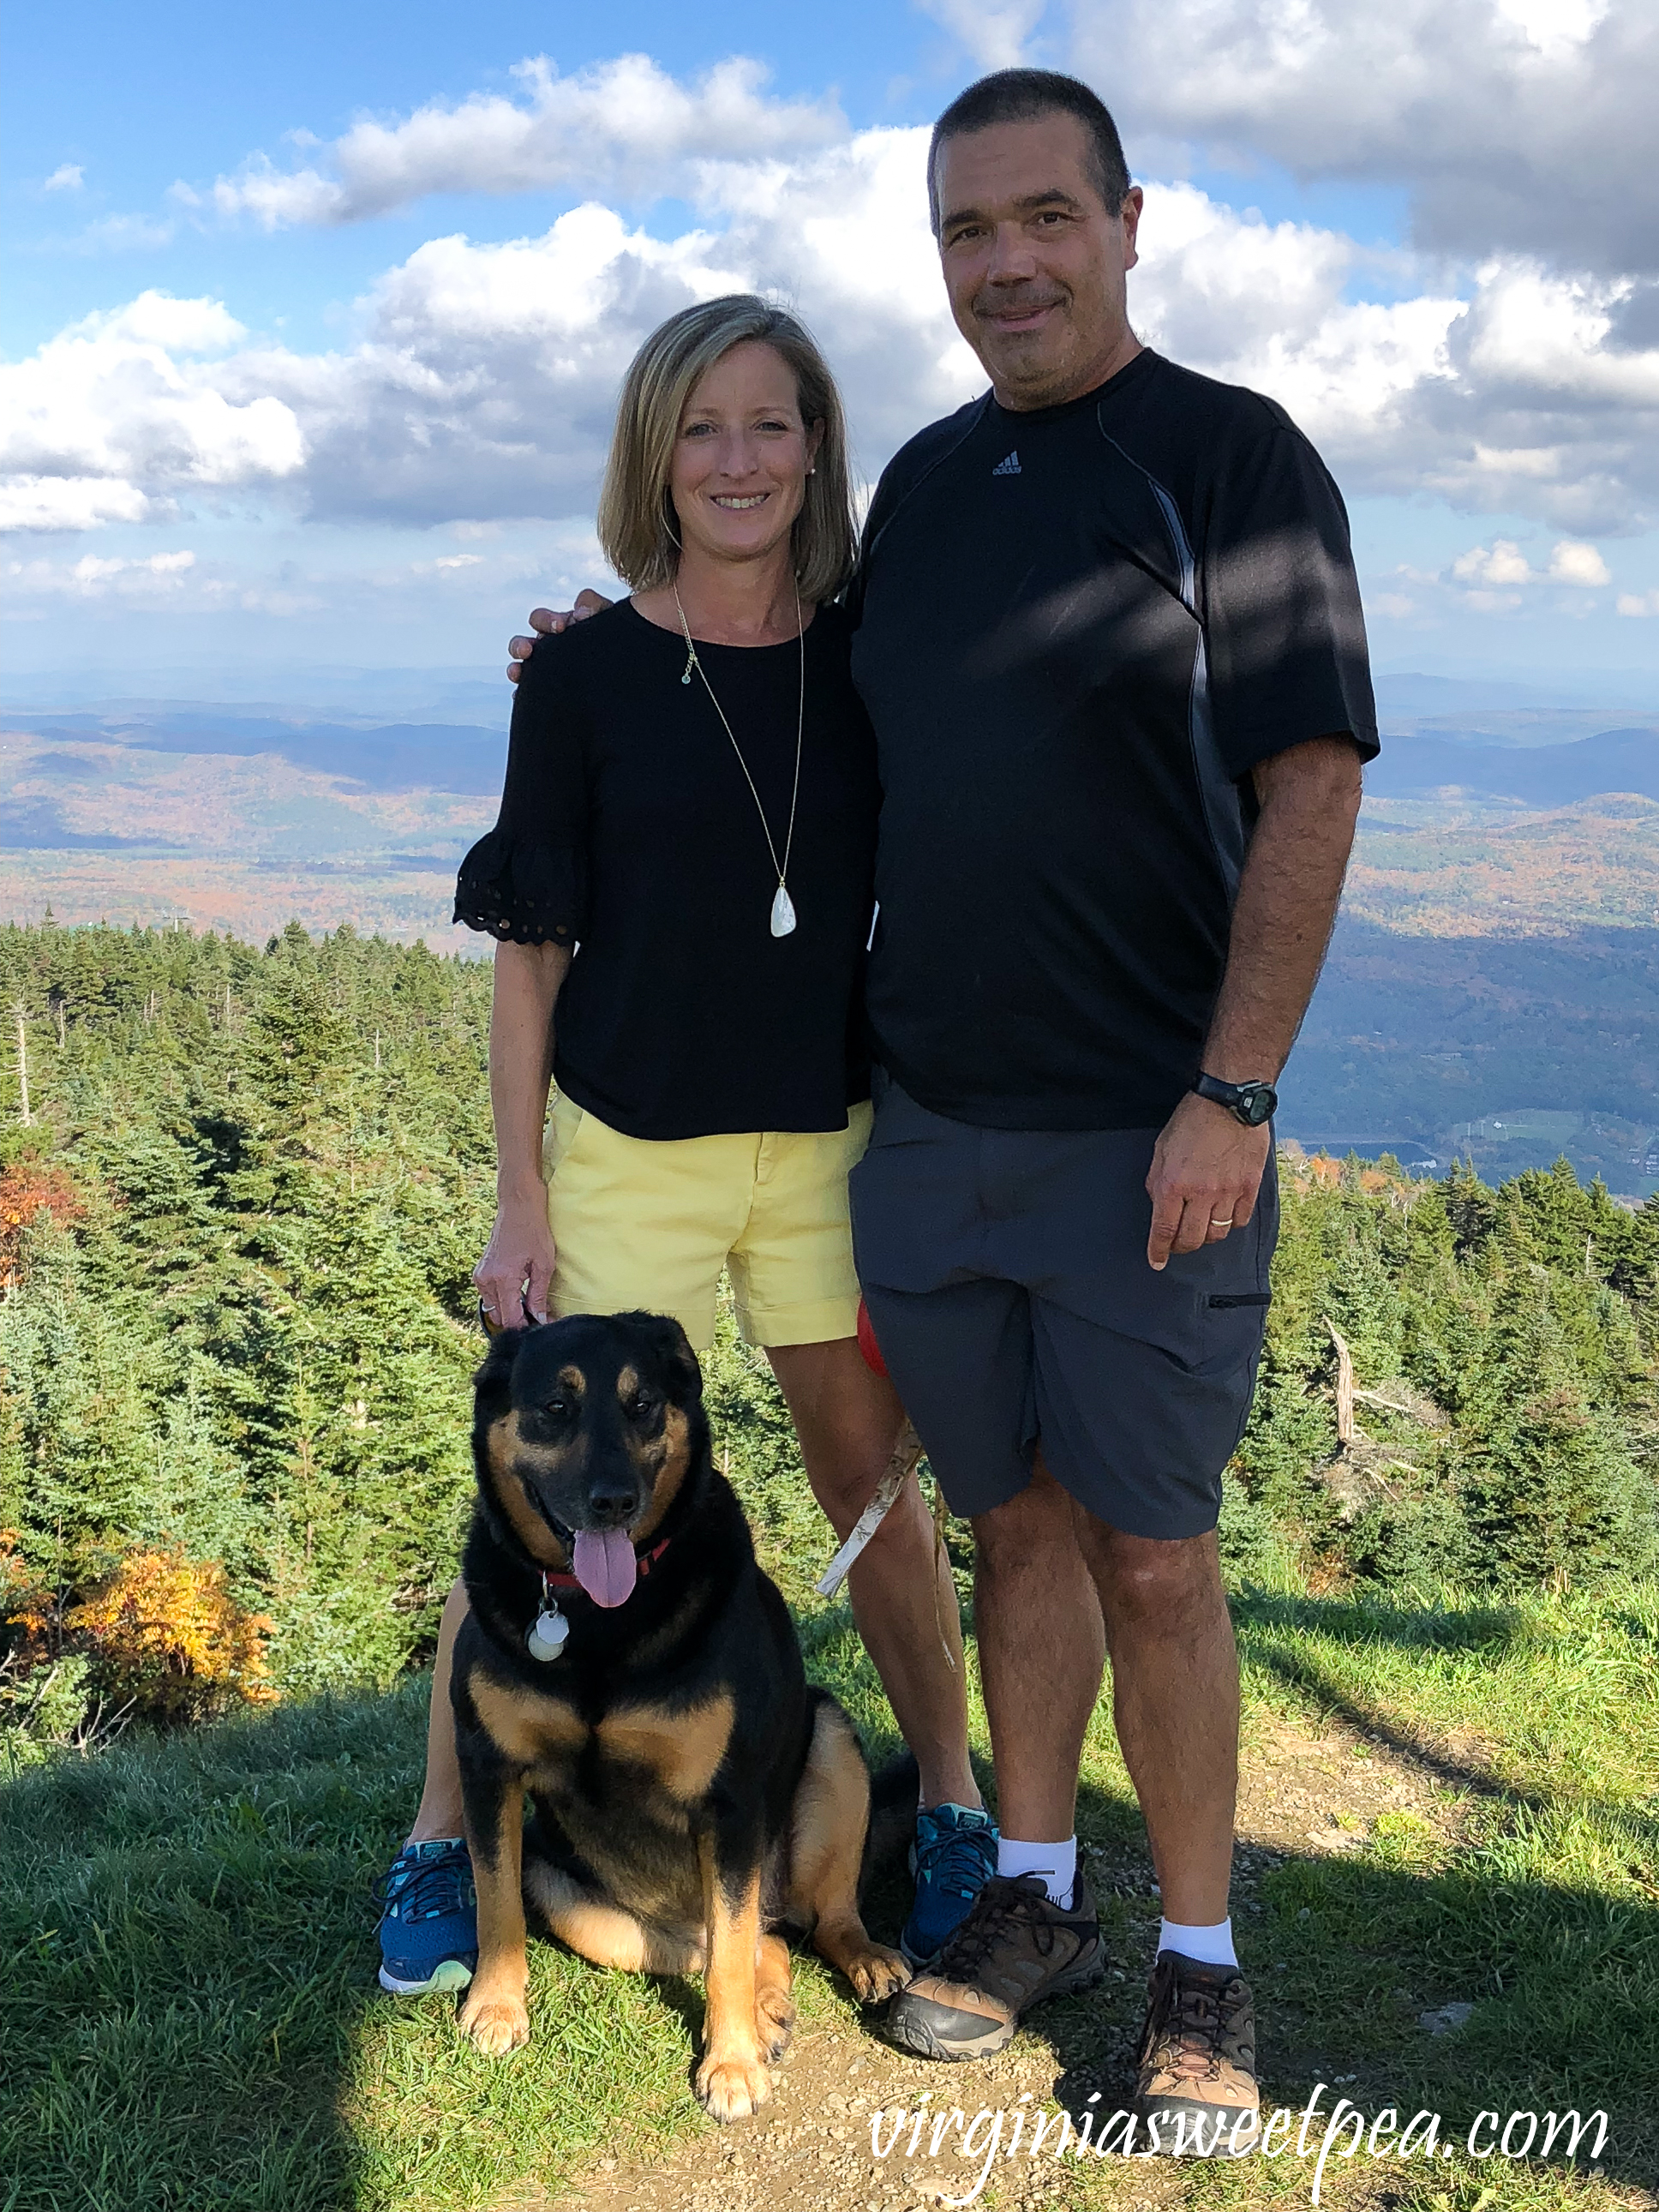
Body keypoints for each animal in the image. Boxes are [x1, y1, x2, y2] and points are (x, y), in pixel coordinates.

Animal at [455, 1300, 915, 2114]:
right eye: (555, 1407)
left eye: (641, 1403)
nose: (615, 1500)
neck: (596, 1621)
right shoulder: (488, 1769)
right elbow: (494, 1901)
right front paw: (497, 2007)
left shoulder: (727, 1804)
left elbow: (732, 1950)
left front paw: (730, 2065)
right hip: (576, 1898)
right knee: (755, 1943)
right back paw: (770, 2009)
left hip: (830, 1745)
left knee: (801, 1922)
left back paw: (855, 1963)